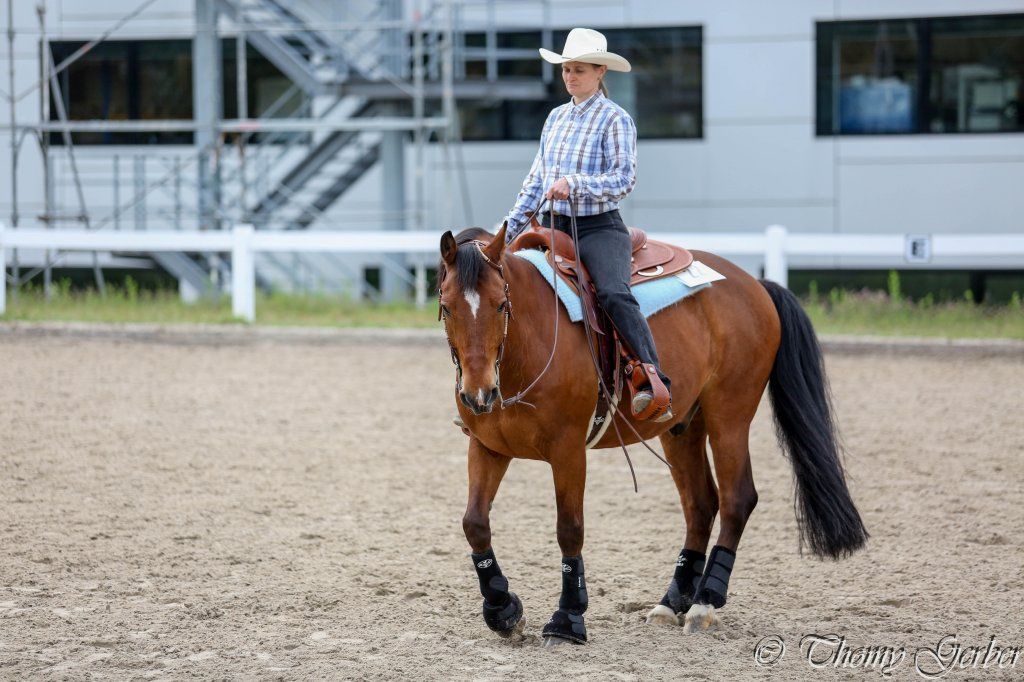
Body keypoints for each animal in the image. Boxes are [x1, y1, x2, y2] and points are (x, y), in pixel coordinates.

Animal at [437, 221, 867, 645]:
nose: (478, 393)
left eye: (501, 304)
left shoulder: (568, 450)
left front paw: (568, 619)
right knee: (700, 504)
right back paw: (672, 602)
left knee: (736, 500)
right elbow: (474, 523)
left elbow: (569, 529)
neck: (526, 347)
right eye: (446, 306)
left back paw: (704, 603)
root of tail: (756, 284)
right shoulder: (488, 447)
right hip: (682, 429)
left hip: (729, 417)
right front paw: (503, 610)